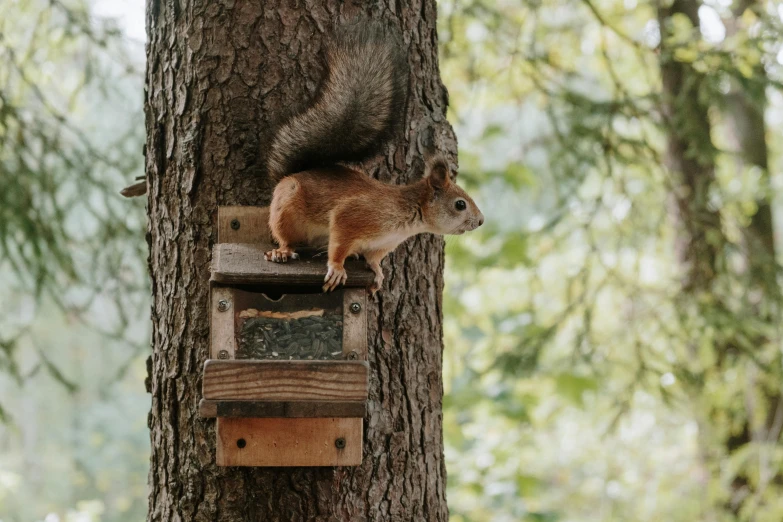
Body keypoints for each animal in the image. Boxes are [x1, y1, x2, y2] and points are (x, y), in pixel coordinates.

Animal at [264, 21, 484, 292]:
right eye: (460, 204)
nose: (480, 221)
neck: (408, 217)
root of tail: (295, 173)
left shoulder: (381, 244)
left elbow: (373, 259)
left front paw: (378, 274)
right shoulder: (353, 215)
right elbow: (339, 243)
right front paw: (337, 268)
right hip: (286, 209)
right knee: (285, 236)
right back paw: (282, 251)